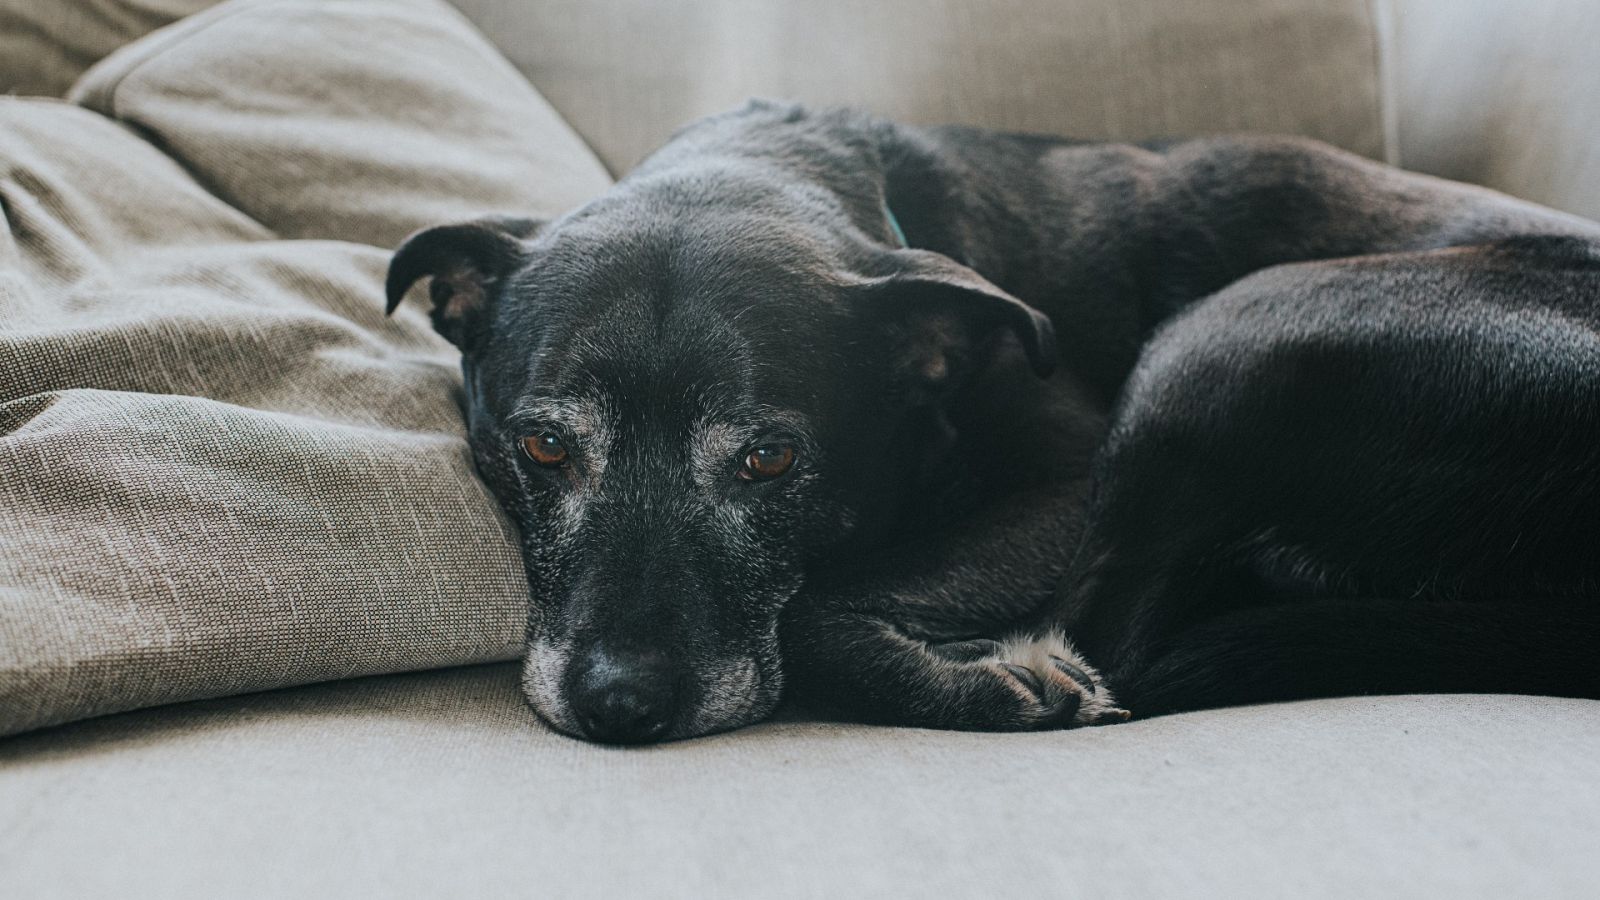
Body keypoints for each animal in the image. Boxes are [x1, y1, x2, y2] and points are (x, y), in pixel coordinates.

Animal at [387, 101, 1600, 739]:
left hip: (1233, 333)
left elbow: (814, 604)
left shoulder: (1065, 488)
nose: (621, 705)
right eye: (544, 446)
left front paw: (972, 679)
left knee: (1116, 644)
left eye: (770, 461)